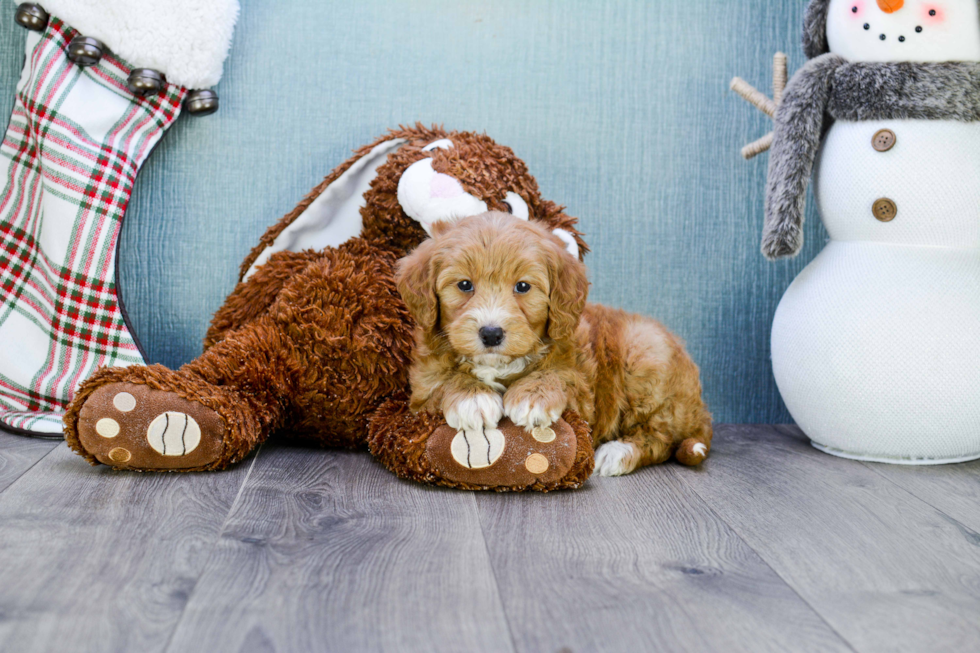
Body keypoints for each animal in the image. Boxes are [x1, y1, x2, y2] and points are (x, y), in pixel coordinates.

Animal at [396, 213, 712, 474]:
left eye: (523, 286)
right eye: (464, 285)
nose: (491, 334)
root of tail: (701, 410)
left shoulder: (582, 384)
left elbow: (560, 375)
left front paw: (532, 396)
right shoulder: (422, 383)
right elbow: (442, 378)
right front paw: (473, 398)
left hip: (645, 354)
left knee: (661, 436)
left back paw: (617, 453)